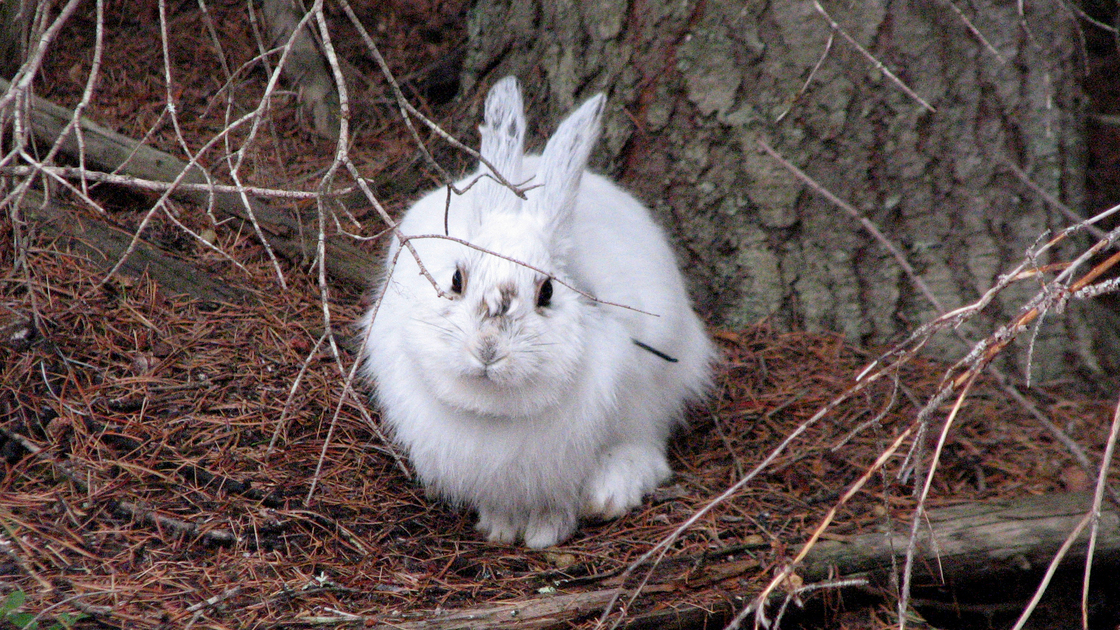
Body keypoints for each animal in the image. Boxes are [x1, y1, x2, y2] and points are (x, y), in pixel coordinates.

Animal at [360, 76, 715, 548]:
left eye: (547, 291)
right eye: (456, 279)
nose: (488, 350)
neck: (495, 412)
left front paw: (546, 532)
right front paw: (500, 527)